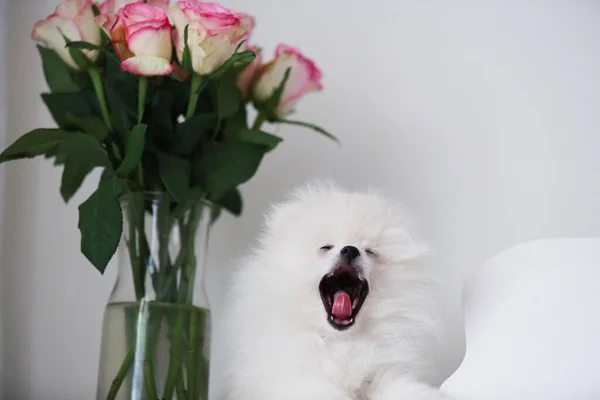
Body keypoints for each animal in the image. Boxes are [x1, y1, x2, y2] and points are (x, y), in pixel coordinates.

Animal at [219, 183, 450, 398]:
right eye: (326, 247)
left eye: (370, 251)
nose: (350, 249)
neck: (342, 342)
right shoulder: (298, 379)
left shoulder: (385, 372)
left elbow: (399, 387)